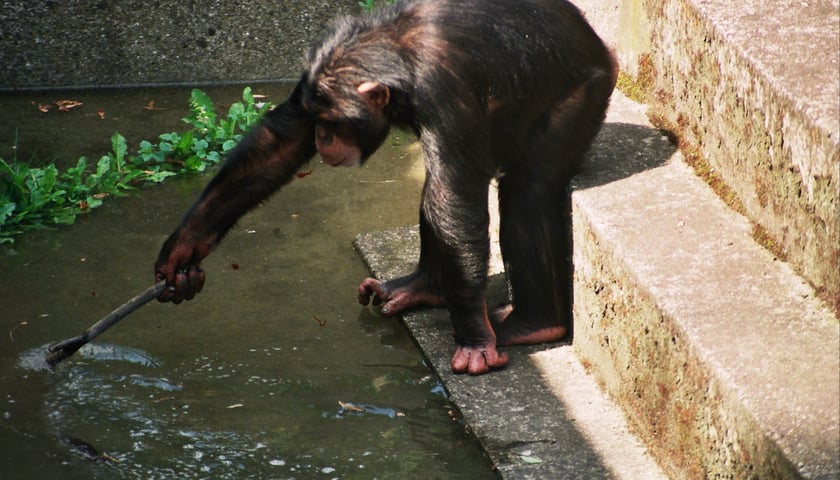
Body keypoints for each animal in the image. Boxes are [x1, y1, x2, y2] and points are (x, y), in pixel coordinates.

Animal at [156, 0, 616, 376]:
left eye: (332, 122)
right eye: (317, 120)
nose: (321, 136)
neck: (396, 57)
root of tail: (596, 40)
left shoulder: (445, 90)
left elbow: (458, 198)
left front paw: (474, 339)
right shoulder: (311, 80)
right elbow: (278, 145)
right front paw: (185, 247)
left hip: (586, 93)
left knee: (524, 190)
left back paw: (533, 323)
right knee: (436, 191)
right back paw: (423, 288)